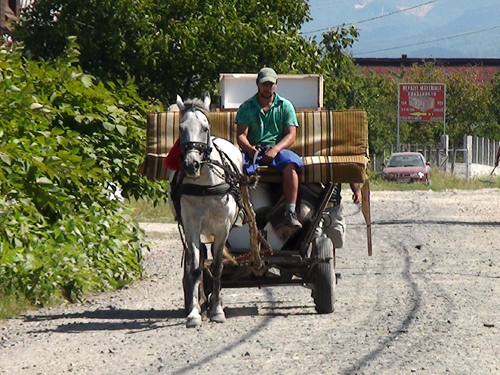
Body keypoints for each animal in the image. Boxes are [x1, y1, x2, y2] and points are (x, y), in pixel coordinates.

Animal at [171, 92, 243, 328]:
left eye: (205, 127)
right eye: (181, 127)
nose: (191, 164)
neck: (205, 186)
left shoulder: (223, 228)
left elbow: (218, 267)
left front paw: (217, 310)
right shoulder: (191, 226)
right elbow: (195, 268)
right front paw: (194, 313)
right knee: (200, 259)